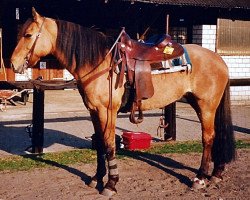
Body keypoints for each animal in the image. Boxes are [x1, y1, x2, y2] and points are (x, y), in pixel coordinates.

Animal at [9, 8, 235, 197]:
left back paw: (200, 178)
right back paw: (217, 173)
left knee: (208, 138)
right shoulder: (93, 110)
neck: (99, 62)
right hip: (200, 104)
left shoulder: (107, 111)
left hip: (206, 106)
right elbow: (100, 144)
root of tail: (219, 60)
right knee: (218, 135)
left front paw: (111, 184)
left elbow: (109, 145)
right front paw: (96, 178)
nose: (12, 63)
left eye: (28, 35)